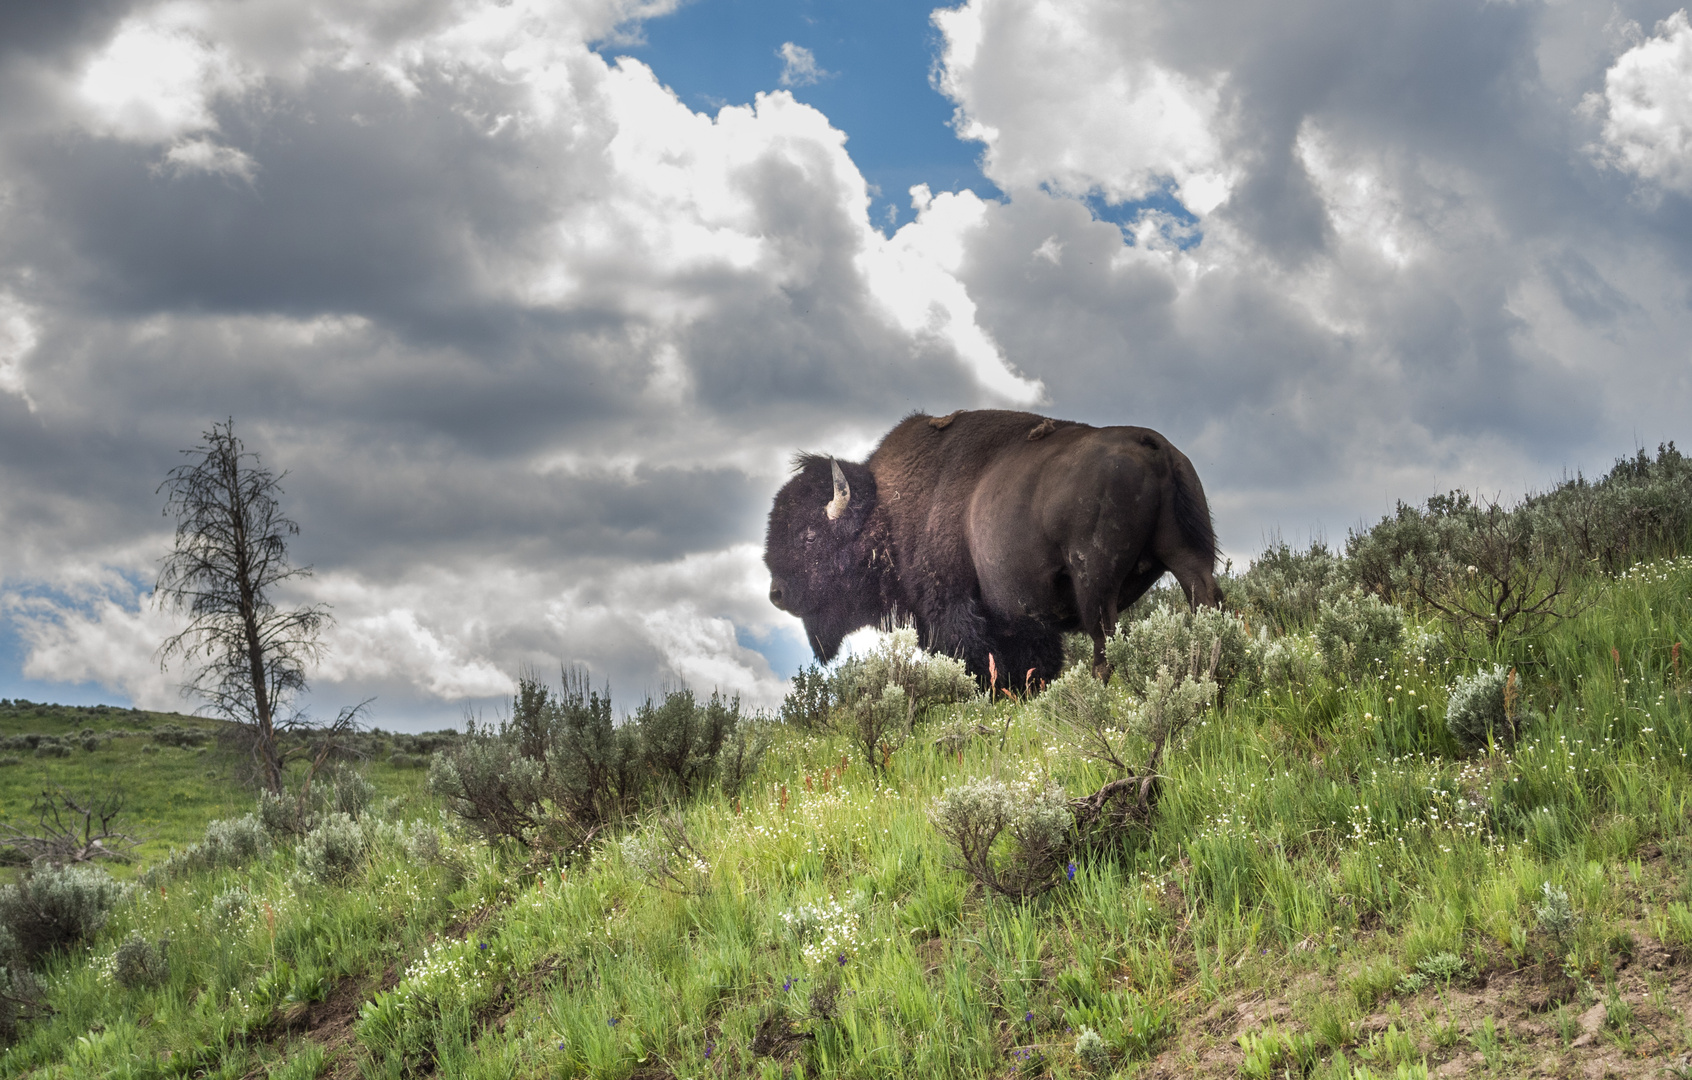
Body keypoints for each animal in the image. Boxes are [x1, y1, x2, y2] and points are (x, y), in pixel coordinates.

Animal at [764, 409, 1218, 690]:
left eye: (809, 536)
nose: (776, 594)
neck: (885, 511)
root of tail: (1152, 445)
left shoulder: (956, 611)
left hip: (1095, 582)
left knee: (1105, 641)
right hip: (1190, 558)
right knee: (1207, 605)